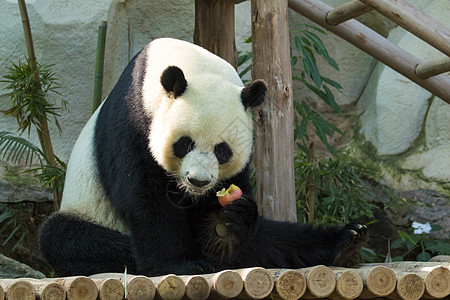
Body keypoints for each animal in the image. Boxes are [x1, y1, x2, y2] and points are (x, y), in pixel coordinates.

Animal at [38, 37, 366, 276]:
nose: (198, 181)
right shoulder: (133, 119)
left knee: (275, 239)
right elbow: (143, 195)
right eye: (184, 144)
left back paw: (347, 240)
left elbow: (223, 204)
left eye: (223, 151)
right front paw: (178, 262)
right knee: (66, 238)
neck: (194, 65)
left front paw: (229, 223)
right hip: (87, 211)